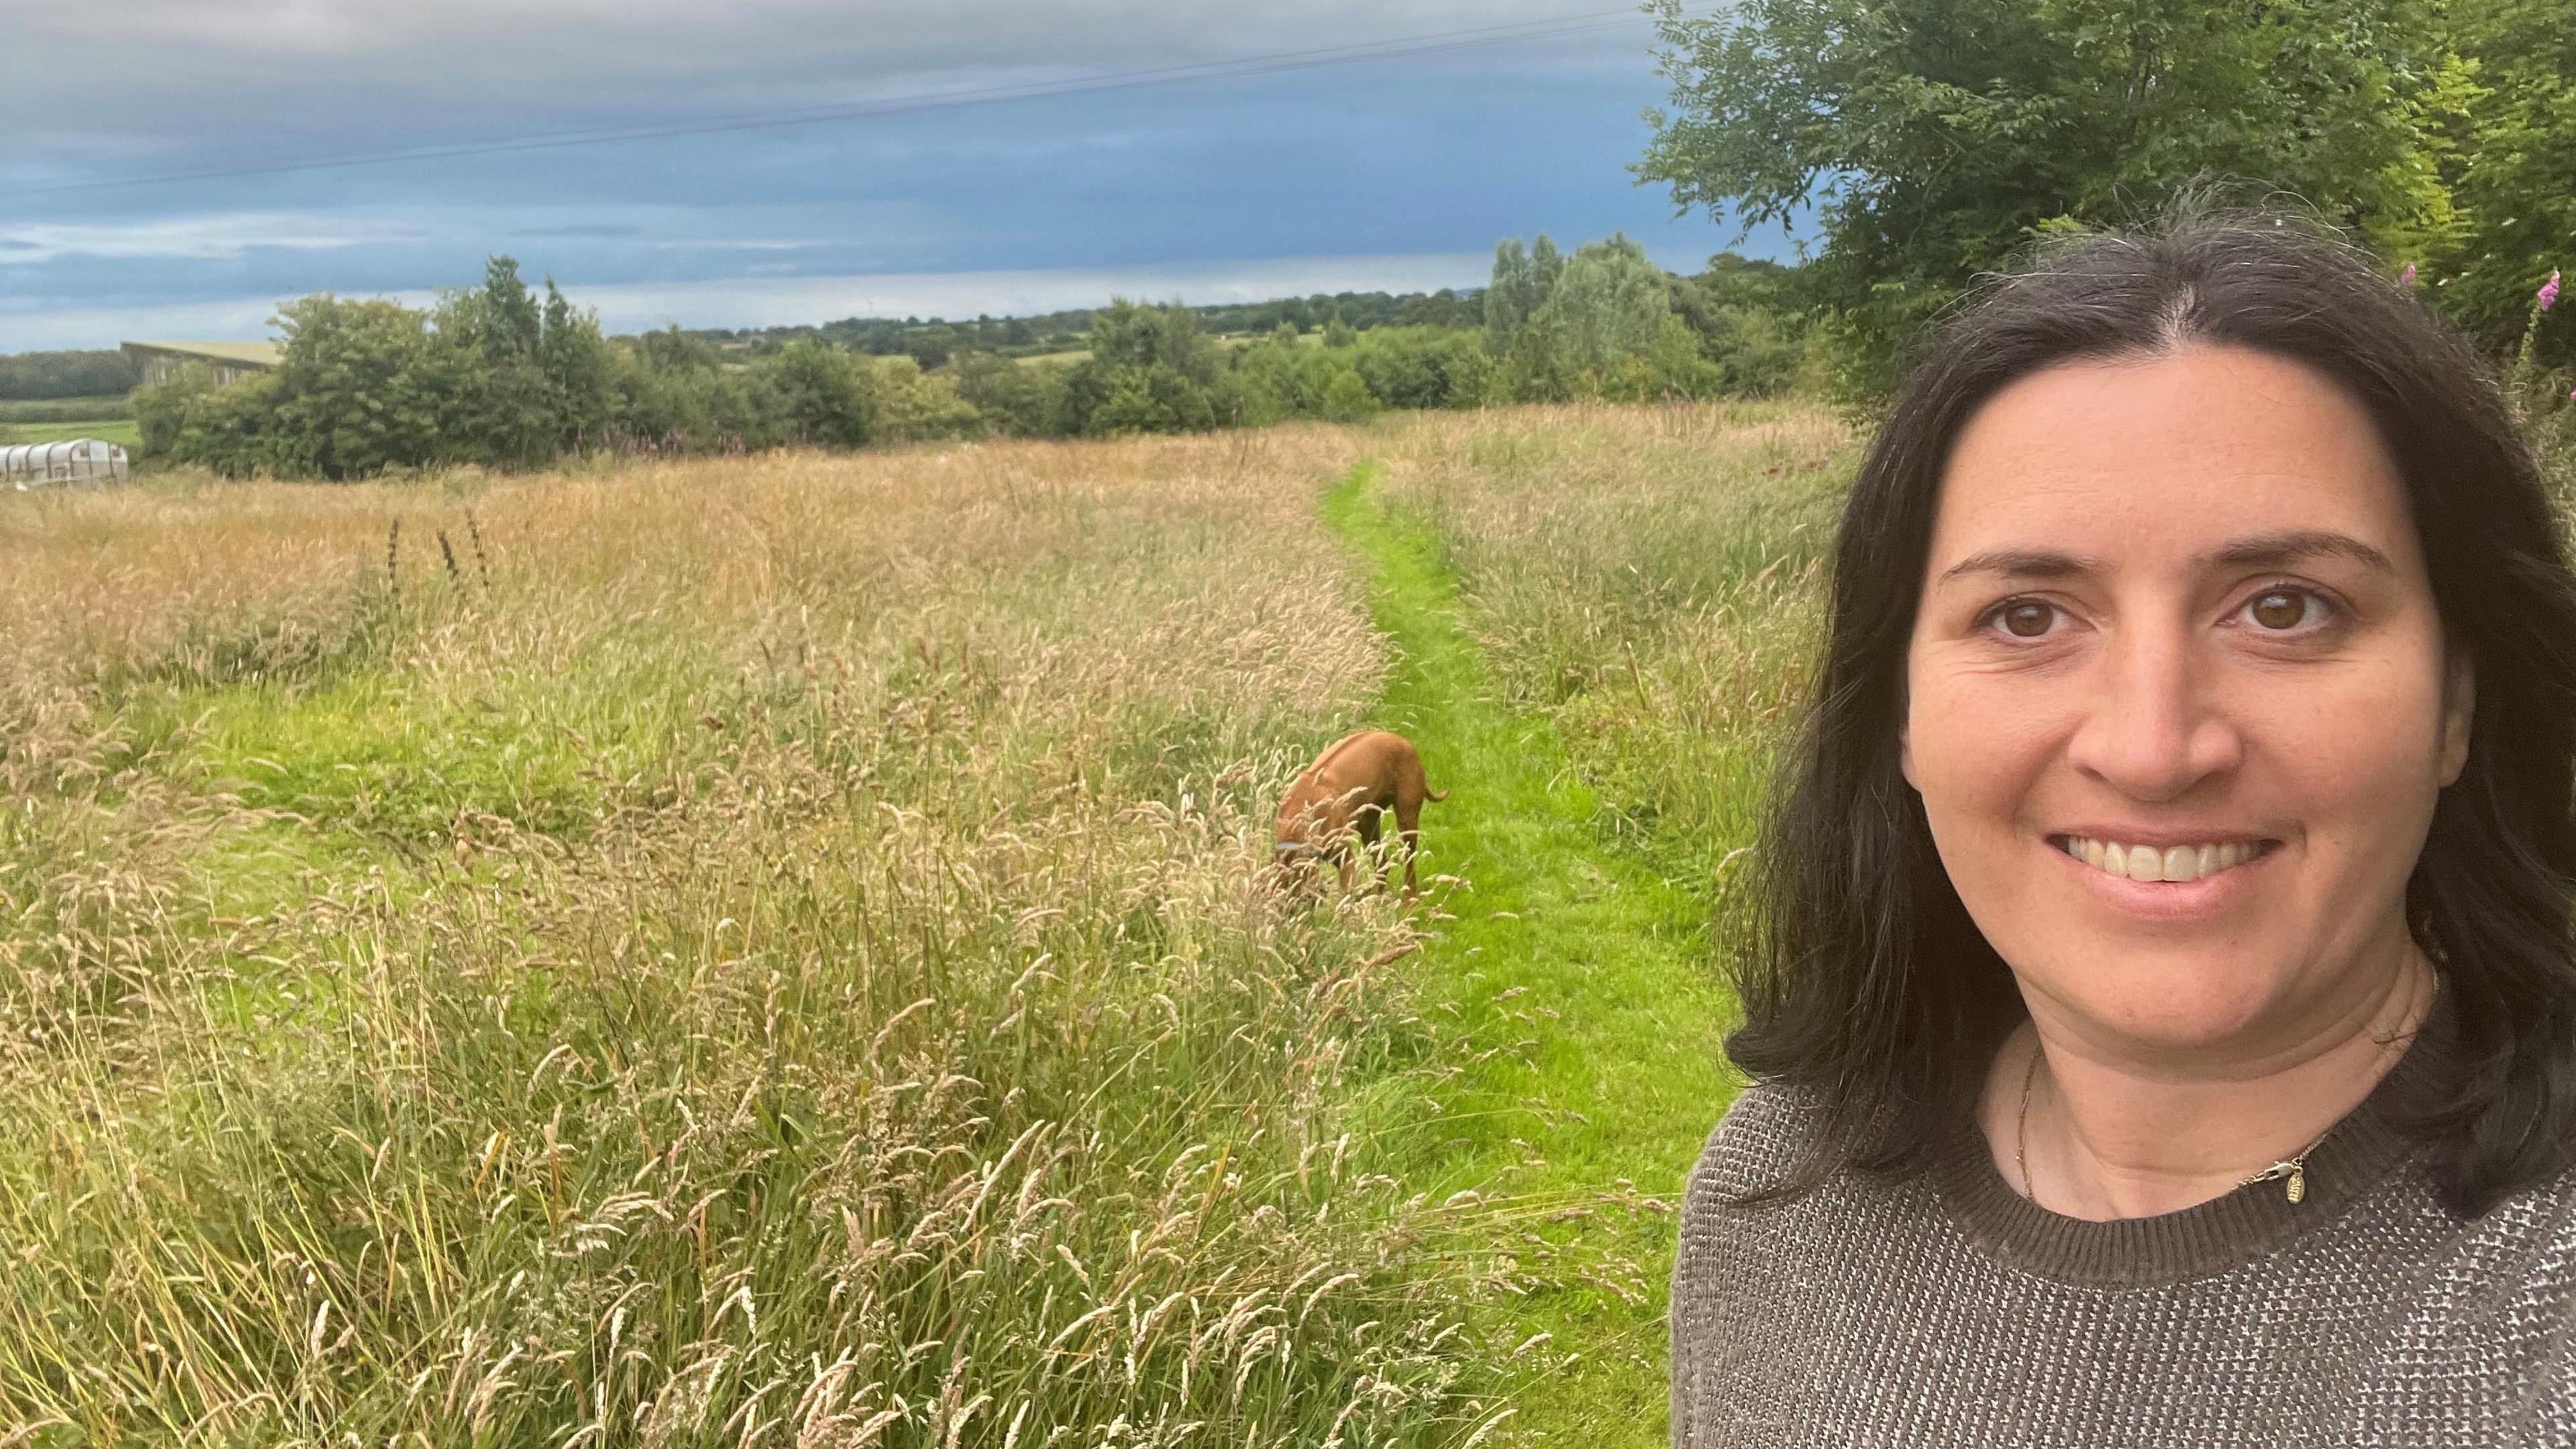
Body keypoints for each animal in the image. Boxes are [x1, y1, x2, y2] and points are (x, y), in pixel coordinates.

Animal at [1272, 727, 1452, 897]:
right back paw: (1376, 899)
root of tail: (1401, 740)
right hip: (1368, 823)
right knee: (1382, 863)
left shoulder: (1345, 859)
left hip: (1406, 817)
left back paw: (1409, 899)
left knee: (1409, 860)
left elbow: (1347, 897)